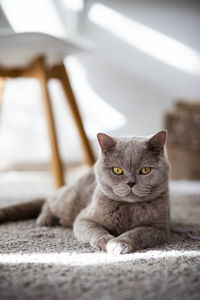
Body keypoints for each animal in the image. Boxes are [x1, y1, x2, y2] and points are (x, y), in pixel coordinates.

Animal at [0, 130, 169, 254]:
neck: (128, 208)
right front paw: (106, 241)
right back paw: (45, 219)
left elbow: (138, 232)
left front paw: (119, 242)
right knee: (50, 200)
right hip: (68, 201)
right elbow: (94, 229)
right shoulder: (84, 219)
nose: (131, 183)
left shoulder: (158, 229)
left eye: (145, 170)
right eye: (117, 170)